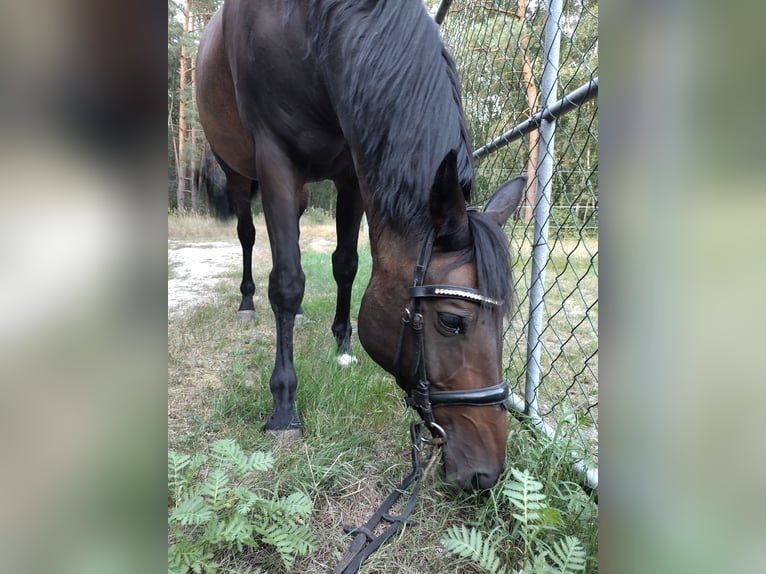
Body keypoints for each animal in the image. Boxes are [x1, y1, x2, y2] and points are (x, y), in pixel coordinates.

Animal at [196, 1, 528, 496]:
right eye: (452, 321)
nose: (485, 473)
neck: (309, 29)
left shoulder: (351, 170)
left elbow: (346, 264)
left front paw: (343, 346)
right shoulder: (274, 157)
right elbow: (288, 281)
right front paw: (284, 407)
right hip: (237, 171)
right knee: (249, 237)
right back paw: (248, 302)